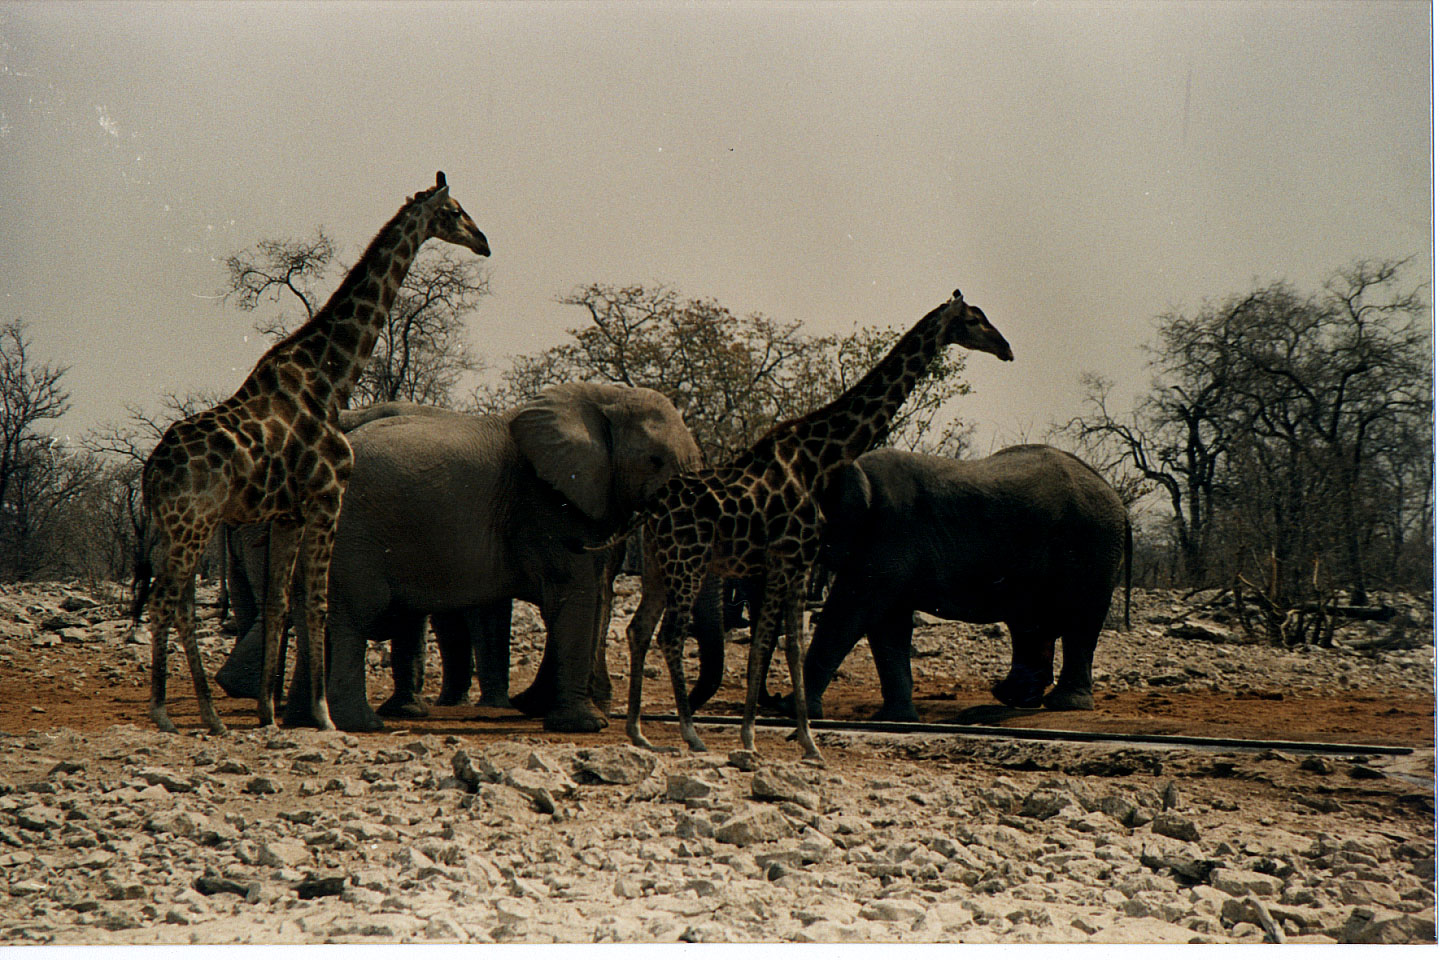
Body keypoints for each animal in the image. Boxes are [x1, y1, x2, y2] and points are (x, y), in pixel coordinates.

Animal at [138, 172, 492, 731]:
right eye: (455, 211)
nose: (484, 242)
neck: (331, 379)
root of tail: (150, 473)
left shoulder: (288, 513)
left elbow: (282, 605)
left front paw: (269, 714)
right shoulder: (328, 498)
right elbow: (319, 605)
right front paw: (324, 717)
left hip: (184, 526)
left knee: (178, 603)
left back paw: (207, 715)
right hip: (192, 522)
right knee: (166, 600)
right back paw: (173, 714)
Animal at [211, 379, 720, 728]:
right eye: (655, 461)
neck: (601, 396)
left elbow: (585, 595)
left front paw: (541, 709)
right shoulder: (545, 503)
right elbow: (576, 594)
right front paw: (586, 724)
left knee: (312, 611)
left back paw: (305, 719)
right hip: (351, 537)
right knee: (352, 613)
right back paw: (364, 724)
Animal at [622, 289, 1013, 759]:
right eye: (974, 320)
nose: (1007, 349)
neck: (819, 459)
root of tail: (651, 511)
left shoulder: (797, 564)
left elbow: (791, 648)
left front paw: (808, 742)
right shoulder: (788, 559)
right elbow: (766, 647)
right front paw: (751, 738)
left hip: (656, 565)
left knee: (638, 629)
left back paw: (638, 732)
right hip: (689, 562)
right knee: (671, 635)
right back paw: (690, 734)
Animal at [771, 446, 1128, 725]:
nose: (768, 696)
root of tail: (1117, 498)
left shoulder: (888, 533)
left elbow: (852, 610)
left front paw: (788, 710)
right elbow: (887, 624)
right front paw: (895, 720)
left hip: (1092, 545)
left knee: (1079, 621)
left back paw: (1061, 704)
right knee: (1030, 624)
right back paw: (1011, 698)